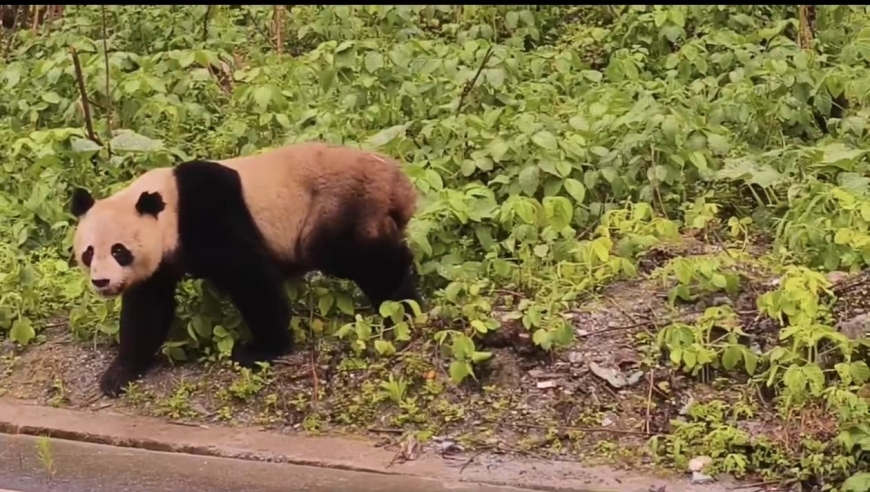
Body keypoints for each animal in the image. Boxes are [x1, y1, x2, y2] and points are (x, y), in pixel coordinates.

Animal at [69, 141, 422, 396]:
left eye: (119, 251)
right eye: (88, 252)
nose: (102, 281)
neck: (169, 205)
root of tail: (398, 183)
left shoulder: (210, 212)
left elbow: (251, 278)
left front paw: (260, 349)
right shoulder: (159, 263)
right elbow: (148, 308)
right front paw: (119, 374)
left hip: (335, 207)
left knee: (364, 259)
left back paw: (402, 302)